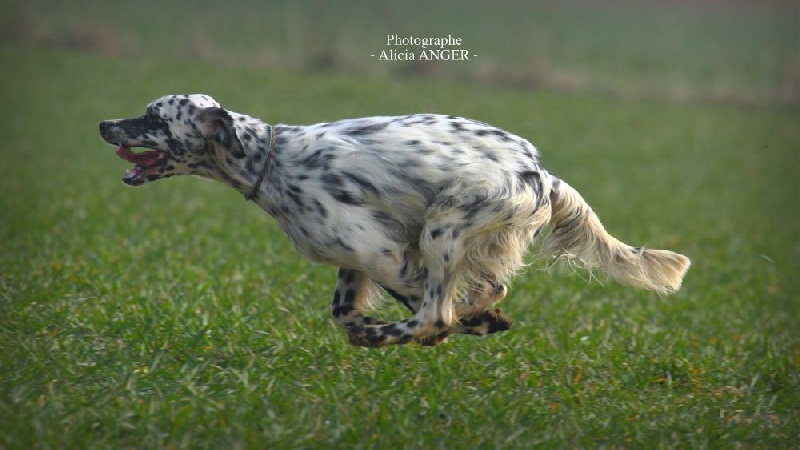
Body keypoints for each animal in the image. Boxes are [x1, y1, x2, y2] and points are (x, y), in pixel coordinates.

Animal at [98, 95, 688, 348]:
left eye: (153, 117)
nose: (103, 123)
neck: (272, 159)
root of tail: (543, 172)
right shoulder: (357, 257)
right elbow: (344, 314)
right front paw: (481, 321)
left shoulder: (384, 253)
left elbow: (426, 310)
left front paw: (453, 326)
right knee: (482, 289)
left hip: (445, 224)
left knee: (433, 313)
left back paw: (403, 335)